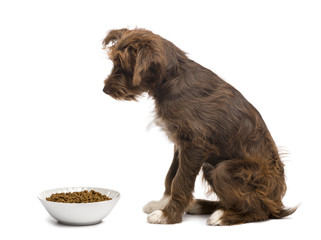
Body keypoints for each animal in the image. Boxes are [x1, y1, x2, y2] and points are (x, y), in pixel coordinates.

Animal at [102, 28, 296, 225]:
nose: (105, 90)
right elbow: (171, 176)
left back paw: (223, 216)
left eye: (123, 65)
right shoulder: (180, 143)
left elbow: (180, 181)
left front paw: (168, 215)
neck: (171, 80)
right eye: (114, 62)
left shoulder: (194, 144)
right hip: (210, 167)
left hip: (224, 170)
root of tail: (278, 203)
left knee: (260, 211)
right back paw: (203, 205)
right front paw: (162, 204)